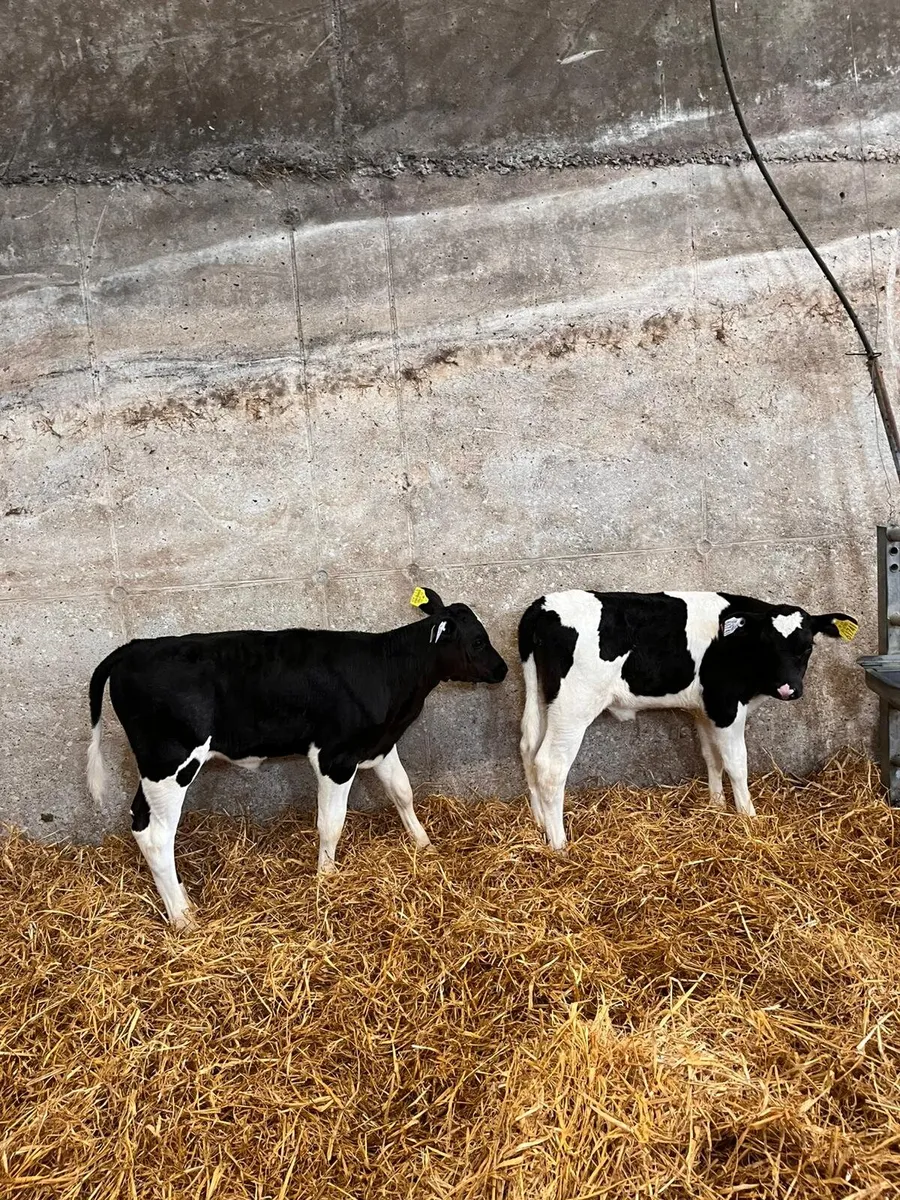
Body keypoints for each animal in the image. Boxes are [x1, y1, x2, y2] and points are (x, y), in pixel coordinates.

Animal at [87, 588, 508, 928]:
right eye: (478, 640)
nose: (503, 669)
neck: (389, 673)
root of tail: (135, 647)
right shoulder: (335, 757)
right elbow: (331, 823)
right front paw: (327, 878)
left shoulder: (380, 745)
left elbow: (403, 793)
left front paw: (425, 846)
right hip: (171, 763)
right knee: (159, 836)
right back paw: (183, 918)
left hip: (154, 769)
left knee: (140, 822)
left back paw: (181, 902)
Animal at [517, 590, 858, 849]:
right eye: (767, 645)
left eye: (808, 646)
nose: (788, 689)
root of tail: (543, 604)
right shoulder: (725, 706)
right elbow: (736, 763)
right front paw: (748, 817)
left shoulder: (704, 710)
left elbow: (712, 757)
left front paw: (716, 806)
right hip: (574, 706)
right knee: (550, 766)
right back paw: (559, 844)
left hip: (545, 699)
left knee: (528, 747)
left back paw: (540, 823)